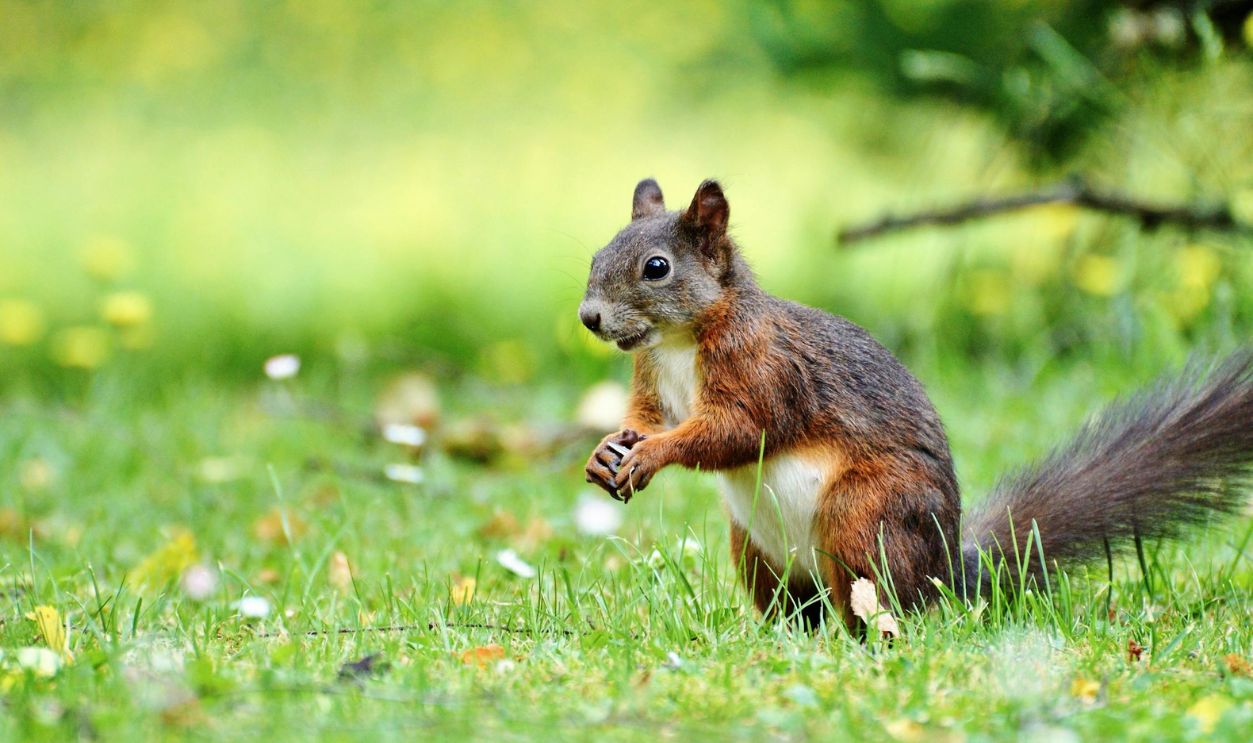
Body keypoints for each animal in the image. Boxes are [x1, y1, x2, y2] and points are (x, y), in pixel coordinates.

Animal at [578, 177, 1253, 627]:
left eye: (657, 268)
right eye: (597, 255)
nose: (589, 318)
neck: (677, 342)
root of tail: (947, 573)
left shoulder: (766, 371)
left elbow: (736, 431)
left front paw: (653, 455)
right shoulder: (651, 379)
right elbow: (645, 417)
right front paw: (607, 450)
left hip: (863, 517)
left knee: (876, 603)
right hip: (756, 550)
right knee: (798, 608)